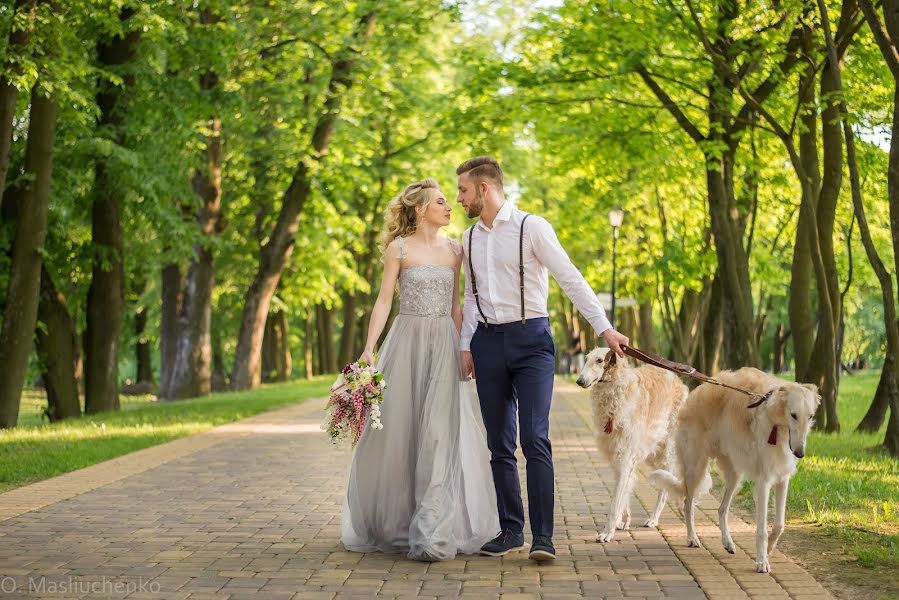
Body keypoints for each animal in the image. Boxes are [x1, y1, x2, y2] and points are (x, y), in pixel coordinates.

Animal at [576, 346, 688, 544]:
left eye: (599, 360)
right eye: (586, 358)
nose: (579, 381)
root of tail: (678, 380)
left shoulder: (625, 458)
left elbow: (615, 502)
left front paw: (607, 532)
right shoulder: (619, 458)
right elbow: (625, 492)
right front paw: (624, 521)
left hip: (667, 450)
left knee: (667, 485)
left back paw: (654, 518)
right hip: (653, 453)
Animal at [652, 368, 820, 576]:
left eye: (810, 416)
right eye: (793, 415)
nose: (799, 453)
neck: (776, 424)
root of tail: (695, 393)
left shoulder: (782, 478)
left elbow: (780, 524)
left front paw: (769, 549)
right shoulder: (763, 482)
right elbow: (762, 530)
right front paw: (761, 562)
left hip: (734, 474)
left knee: (721, 509)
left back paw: (728, 543)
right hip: (695, 467)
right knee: (687, 504)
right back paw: (692, 538)